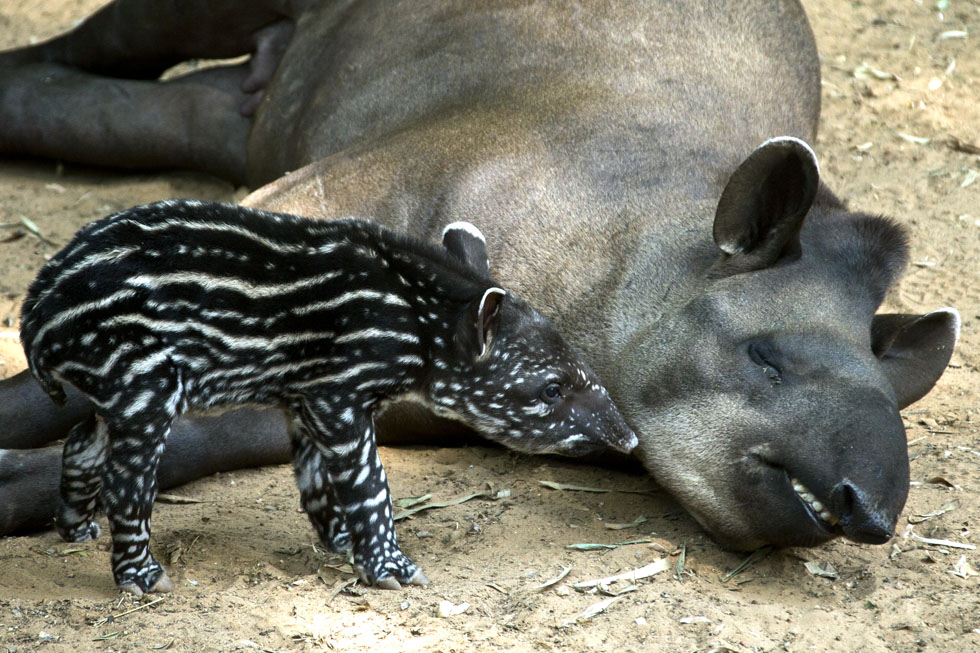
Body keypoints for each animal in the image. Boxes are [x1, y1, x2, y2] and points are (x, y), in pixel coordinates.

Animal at [0, 0, 959, 551]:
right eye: (764, 357)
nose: (868, 511)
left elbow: (202, 438)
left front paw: (20, 486)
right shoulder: (323, 202)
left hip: (251, 108)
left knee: (124, 104)